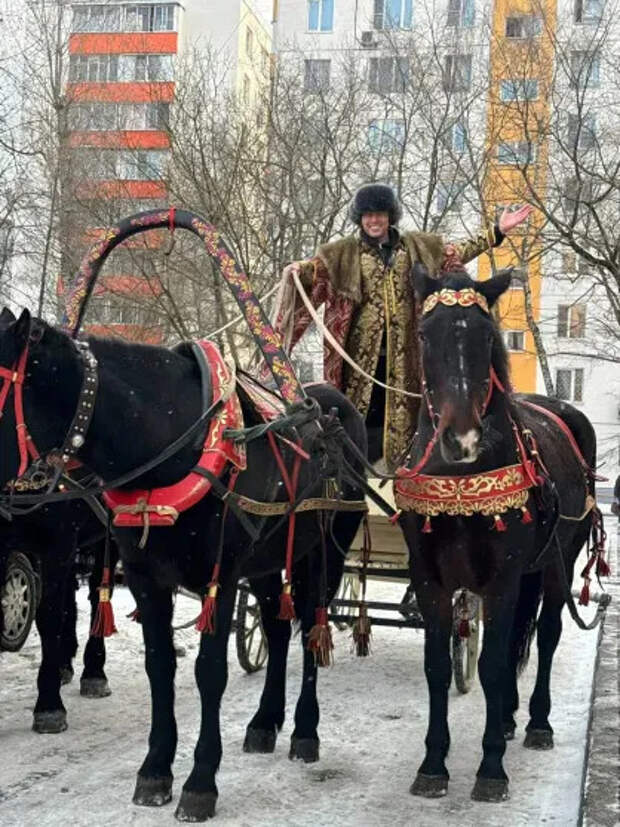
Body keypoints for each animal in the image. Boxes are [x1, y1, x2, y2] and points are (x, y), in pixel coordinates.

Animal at [0, 502, 116, 736]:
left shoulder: (57, 542)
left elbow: (50, 617)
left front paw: (49, 707)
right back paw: (64, 664)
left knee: (99, 591)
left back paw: (94, 672)